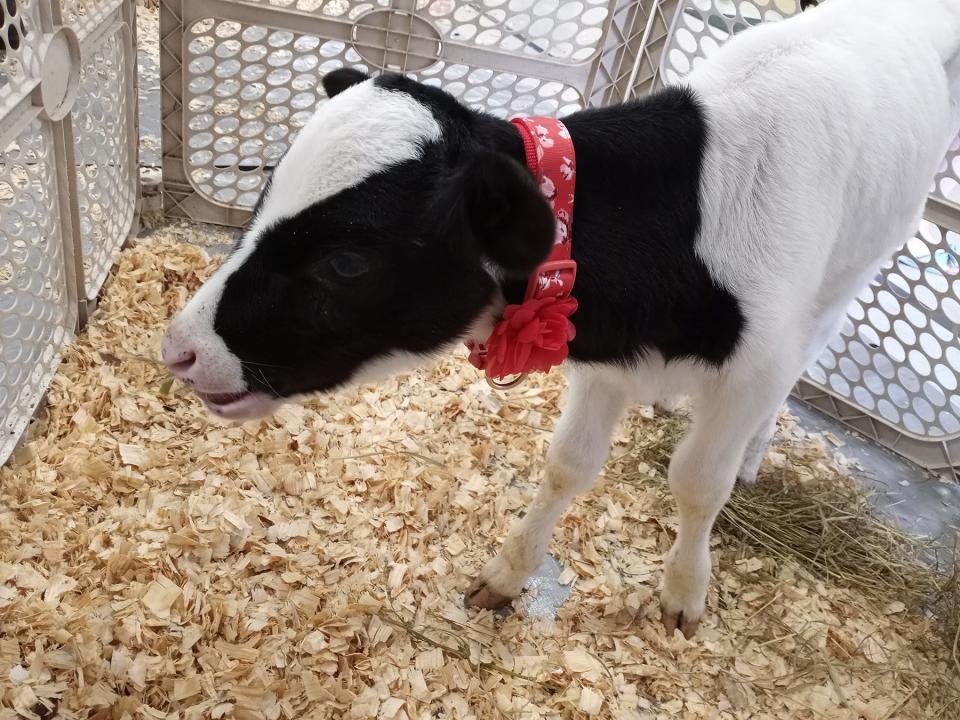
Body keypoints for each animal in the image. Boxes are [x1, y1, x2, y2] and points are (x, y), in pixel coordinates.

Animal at [165, 1, 960, 640]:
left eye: (347, 263)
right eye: (264, 189)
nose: (178, 349)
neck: (680, 236)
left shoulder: (749, 372)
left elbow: (699, 482)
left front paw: (684, 592)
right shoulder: (603, 365)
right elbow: (567, 465)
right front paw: (507, 574)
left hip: (849, 276)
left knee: (801, 366)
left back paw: (756, 454)